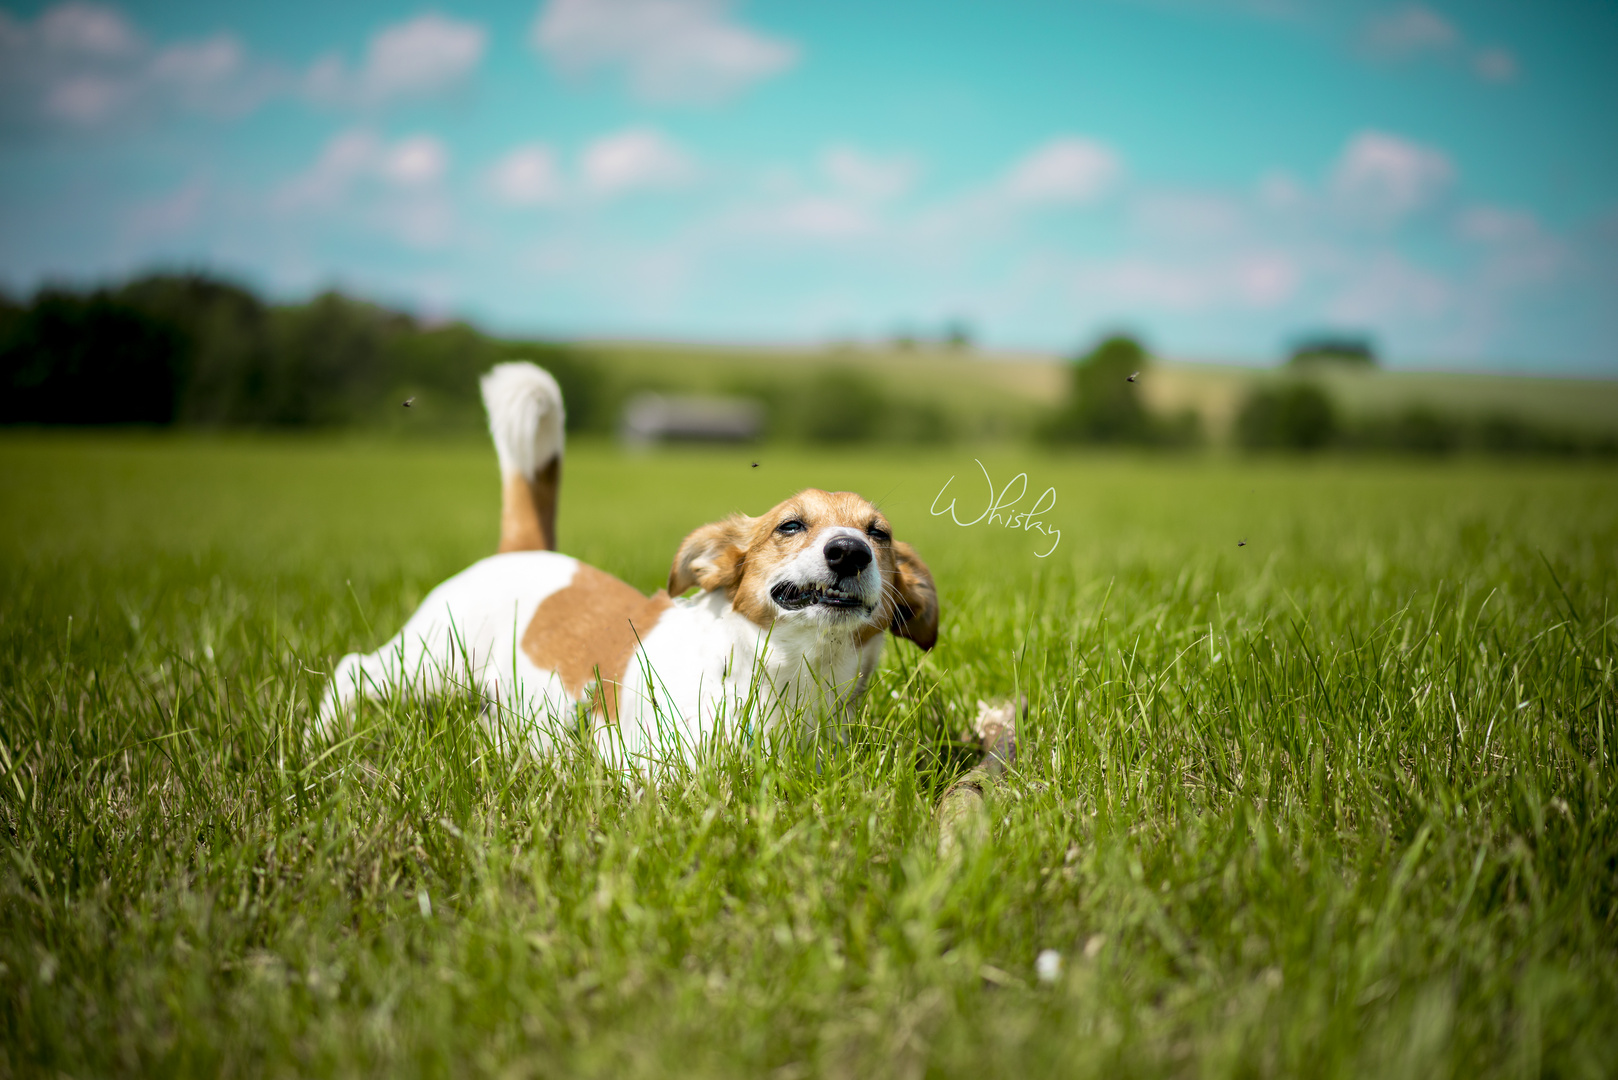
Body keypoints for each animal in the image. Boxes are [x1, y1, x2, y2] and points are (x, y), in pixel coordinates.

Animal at [317, 362, 944, 767]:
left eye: (879, 534)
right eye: (790, 525)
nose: (849, 551)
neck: (784, 678)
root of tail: (521, 547)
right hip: (427, 660)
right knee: (352, 669)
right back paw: (318, 738)